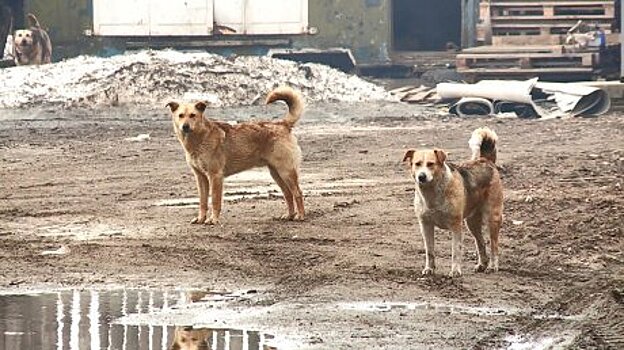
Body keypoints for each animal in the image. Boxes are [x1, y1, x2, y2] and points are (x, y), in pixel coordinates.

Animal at [165, 86, 304, 226]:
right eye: (180, 115)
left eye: (193, 115)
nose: (185, 126)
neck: (200, 139)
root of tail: (283, 124)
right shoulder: (200, 178)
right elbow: (203, 202)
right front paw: (201, 218)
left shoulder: (215, 176)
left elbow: (215, 200)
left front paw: (213, 219)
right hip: (276, 173)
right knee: (288, 194)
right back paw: (289, 215)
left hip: (286, 171)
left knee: (297, 193)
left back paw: (300, 216)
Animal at [402, 127, 504, 278]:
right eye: (417, 164)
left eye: (431, 164)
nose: (421, 176)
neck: (433, 193)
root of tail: (485, 160)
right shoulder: (425, 225)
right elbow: (429, 250)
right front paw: (429, 269)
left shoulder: (455, 226)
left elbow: (456, 251)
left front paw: (455, 271)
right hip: (471, 222)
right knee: (481, 242)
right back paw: (482, 264)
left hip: (492, 217)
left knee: (494, 245)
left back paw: (492, 266)